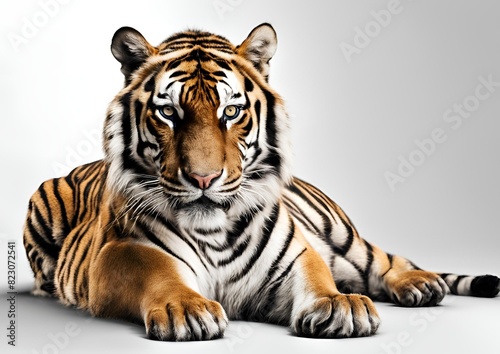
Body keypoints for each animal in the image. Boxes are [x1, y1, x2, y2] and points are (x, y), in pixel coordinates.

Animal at [24, 22, 500, 340]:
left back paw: (418, 284)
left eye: (231, 112)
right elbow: (157, 271)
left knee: (383, 261)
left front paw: (338, 305)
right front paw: (187, 308)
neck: (213, 229)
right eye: (169, 113)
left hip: (341, 233)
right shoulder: (118, 252)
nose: (203, 177)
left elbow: (316, 275)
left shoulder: (297, 252)